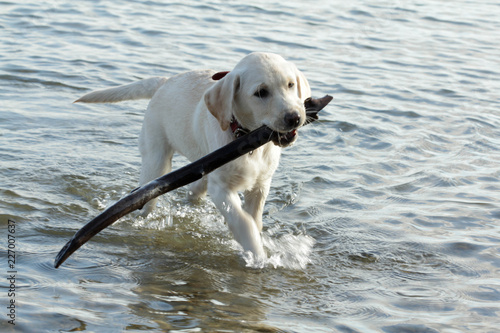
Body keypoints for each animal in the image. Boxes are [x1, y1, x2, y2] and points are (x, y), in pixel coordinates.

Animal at [76, 52, 310, 260]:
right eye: (261, 92)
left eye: (290, 85)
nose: (294, 117)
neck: (247, 141)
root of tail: (165, 81)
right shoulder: (221, 189)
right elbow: (243, 222)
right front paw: (257, 254)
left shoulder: (261, 186)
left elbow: (254, 218)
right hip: (156, 160)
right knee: (148, 197)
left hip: (203, 171)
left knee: (193, 191)